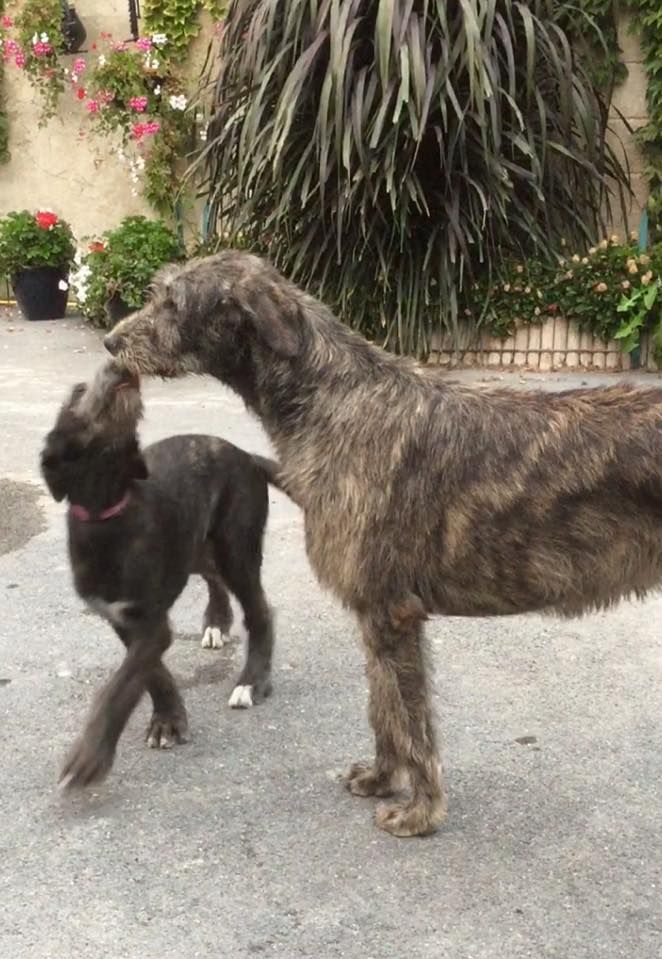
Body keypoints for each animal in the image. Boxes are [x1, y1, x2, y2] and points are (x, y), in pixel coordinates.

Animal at [41, 359, 279, 789]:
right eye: (79, 392)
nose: (117, 364)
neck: (109, 509)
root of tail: (246, 455)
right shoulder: (120, 616)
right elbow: (149, 673)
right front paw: (168, 719)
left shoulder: (150, 623)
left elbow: (120, 685)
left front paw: (90, 756)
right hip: (196, 545)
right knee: (213, 577)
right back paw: (216, 622)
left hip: (236, 546)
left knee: (260, 611)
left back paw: (251, 682)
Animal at [104, 250, 662, 837]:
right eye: (159, 291)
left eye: (173, 302)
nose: (111, 342)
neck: (336, 402)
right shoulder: (373, 613)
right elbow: (384, 705)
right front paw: (380, 778)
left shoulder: (392, 611)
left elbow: (412, 718)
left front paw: (420, 811)